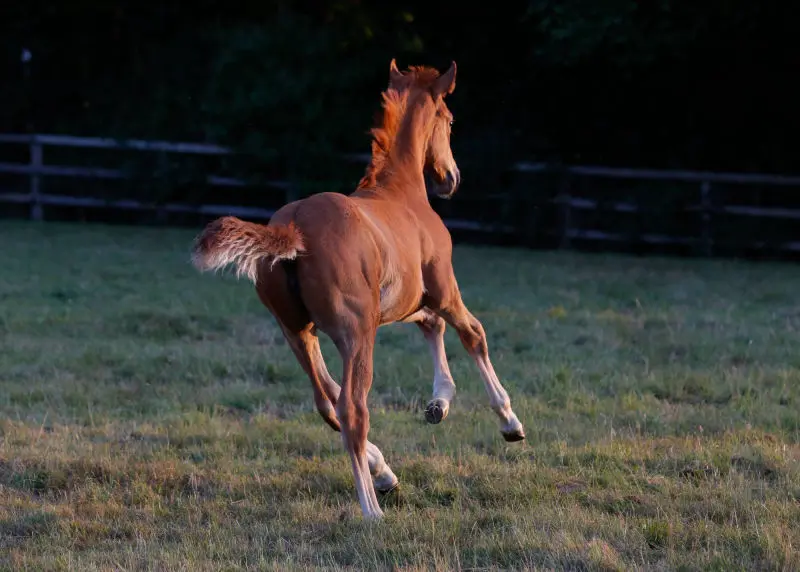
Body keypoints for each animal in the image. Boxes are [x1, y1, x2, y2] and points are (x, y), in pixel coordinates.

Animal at [191, 59, 525, 520]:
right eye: (450, 119)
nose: (450, 179)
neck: (401, 192)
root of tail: (291, 228)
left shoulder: (406, 302)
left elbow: (431, 327)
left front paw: (439, 403)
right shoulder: (442, 288)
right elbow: (472, 333)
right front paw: (510, 421)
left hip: (297, 332)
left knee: (326, 400)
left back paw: (383, 473)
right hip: (356, 333)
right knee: (351, 408)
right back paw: (371, 508)